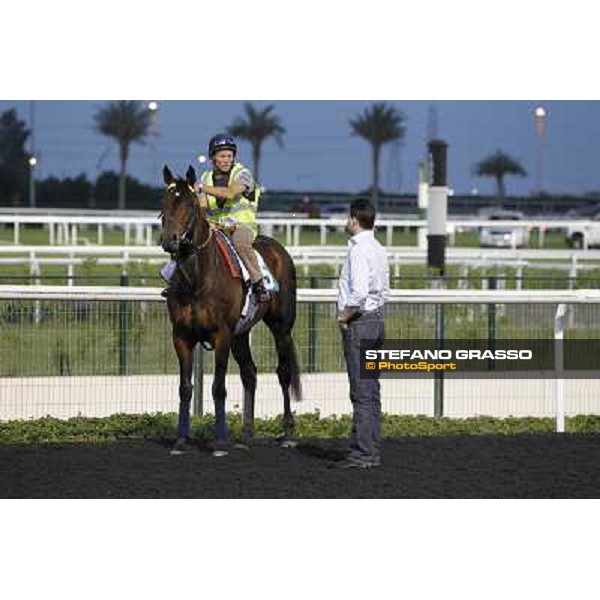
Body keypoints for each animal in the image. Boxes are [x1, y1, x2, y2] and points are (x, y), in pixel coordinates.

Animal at [159, 164, 302, 454]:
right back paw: (246, 433)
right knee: (250, 373)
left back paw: (287, 431)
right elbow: (185, 388)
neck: (198, 279)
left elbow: (218, 387)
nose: (170, 241)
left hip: (281, 328)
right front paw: (181, 439)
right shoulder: (181, 336)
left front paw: (219, 442)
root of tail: (278, 249)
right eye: (163, 202)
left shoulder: (221, 335)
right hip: (241, 334)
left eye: (190, 204)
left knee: (283, 373)